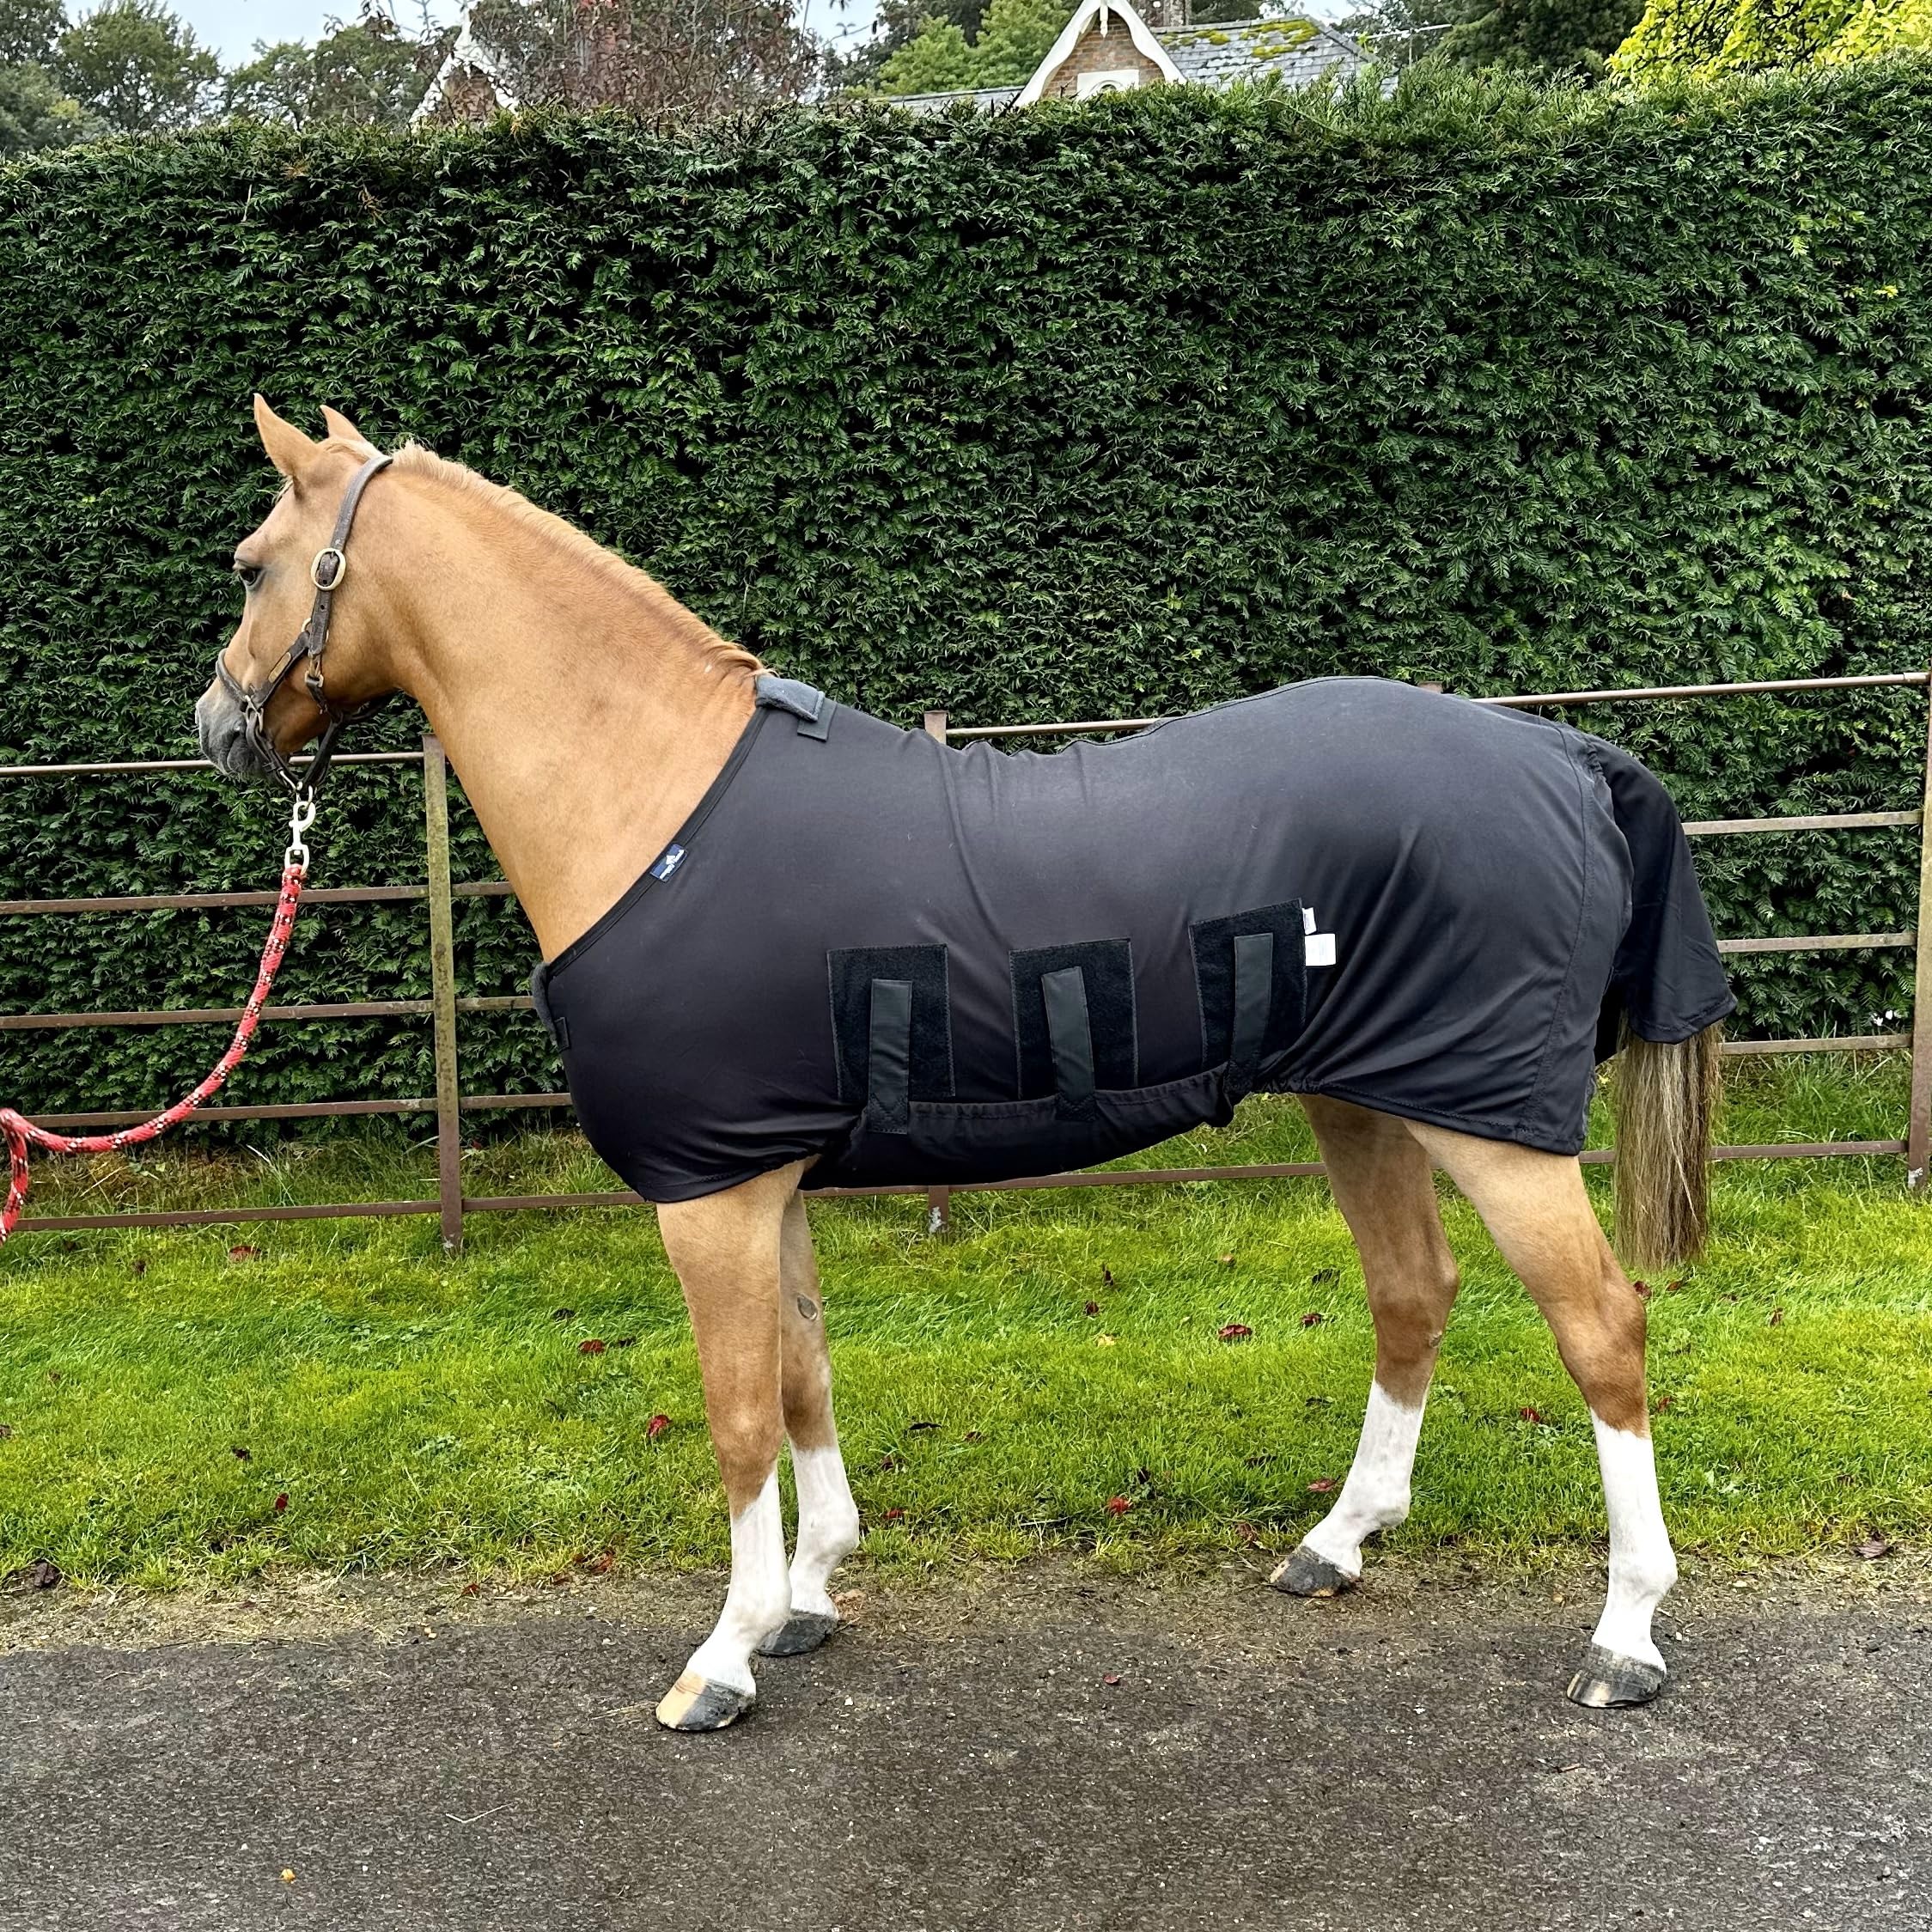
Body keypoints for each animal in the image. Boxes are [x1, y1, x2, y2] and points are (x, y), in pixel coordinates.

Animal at [196, 398, 1731, 1733]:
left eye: (255, 563)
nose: (219, 724)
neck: (653, 798)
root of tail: (1559, 750)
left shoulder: (708, 1198)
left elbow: (737, 1415)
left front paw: (722, 1660)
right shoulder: (764, 1177)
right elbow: (803, 1378)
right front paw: (807, 1599)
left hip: (1491, 1125)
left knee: (1603, 1328)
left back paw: (1625, 1637)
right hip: (1363, 1095)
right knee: (1413, 1293)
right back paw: (1335, 1543)